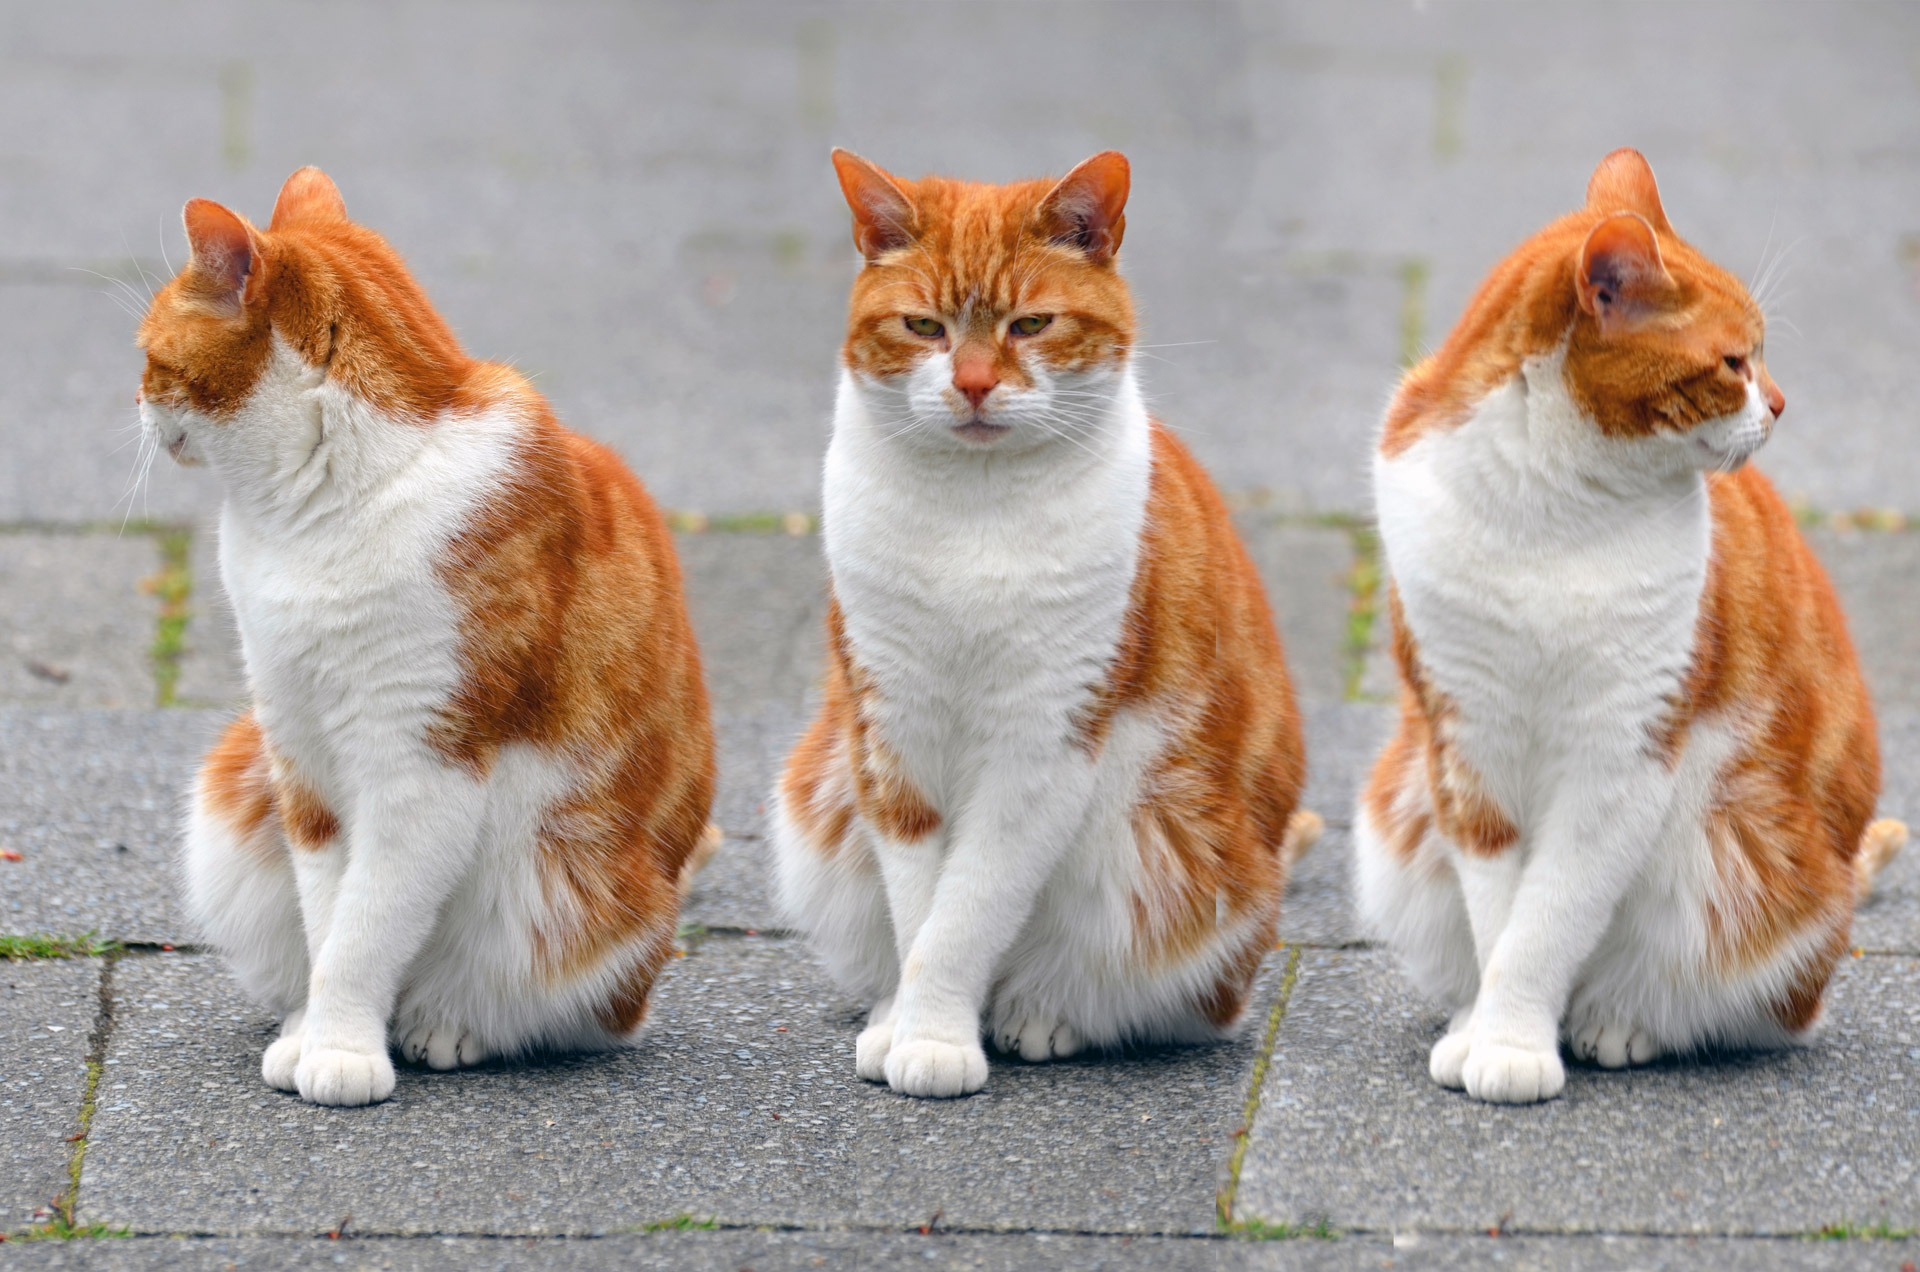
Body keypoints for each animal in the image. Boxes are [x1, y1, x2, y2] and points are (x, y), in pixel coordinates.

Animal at [139, 167, 718, 1106]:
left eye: (149, 357)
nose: (139, 408)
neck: (316, 508)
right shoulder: (301, 758)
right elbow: (329, 918)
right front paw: (316, 1033)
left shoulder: (422, 767)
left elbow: (367, 926)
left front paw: (340, 1050)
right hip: (235, 782)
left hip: (583, 903)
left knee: (562, 1009)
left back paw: (448, 1026)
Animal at [764, 149, 1320, 1099]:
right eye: (923, 326)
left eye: (1030, 324)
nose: (973, 383)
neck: (975, 512)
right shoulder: (891, 736)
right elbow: (920, 912)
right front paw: (913, 1026)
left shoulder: (1044, 742)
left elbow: (968, 908)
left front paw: (936, 1040)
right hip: (820, 800)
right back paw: (892, 1013)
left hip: (1181, 882)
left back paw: (1040, 1014)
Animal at [1359, 146, 1912, 1106]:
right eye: (1734, 362)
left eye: (1758, 358)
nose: (1781, 405)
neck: (1548, 508)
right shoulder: (1465, 747)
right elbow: (1500, 919)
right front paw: (1492, 1033)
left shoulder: (1621, 756)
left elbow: (1548, 917)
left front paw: (1514, 1043)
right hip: (1399, 816)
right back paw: (1471, 1019)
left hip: (1754, 879)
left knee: (1742, 1007)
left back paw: (1621, 1023)